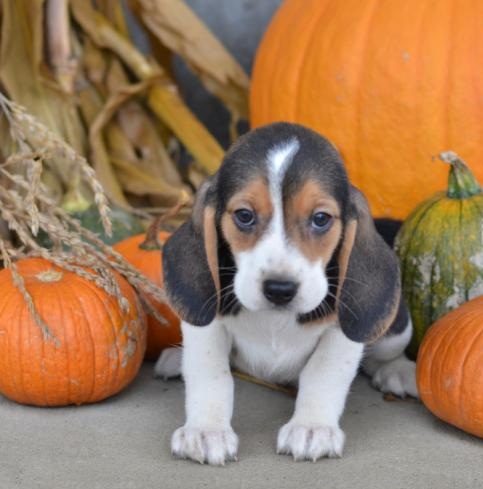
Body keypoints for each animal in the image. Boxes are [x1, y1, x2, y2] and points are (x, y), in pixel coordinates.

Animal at [157, 123, 418, 466]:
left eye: (321, 218)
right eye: (244, 215)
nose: (279, 289)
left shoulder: (340, 335)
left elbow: (322, 373)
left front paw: (312, 427)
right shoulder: (206, 324)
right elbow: (211, 373)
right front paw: (206, 430)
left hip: (395, 331)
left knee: (384, 355)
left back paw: (397, 371)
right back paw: (176, 358)